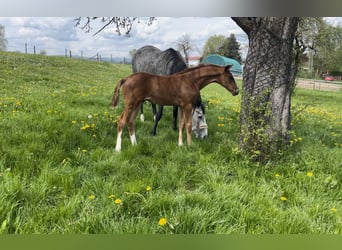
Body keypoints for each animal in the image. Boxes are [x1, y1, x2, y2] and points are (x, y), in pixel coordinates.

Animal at [111, 63, 239, 151]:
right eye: (230, 77)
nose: (236, 91)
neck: (191, 80)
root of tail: (126, 79)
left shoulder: (181, 106)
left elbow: (181, 124)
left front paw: (180, 144)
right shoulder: (187, 106)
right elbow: (188, 124)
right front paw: (190, 145)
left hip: (137, 104)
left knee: (130, 122)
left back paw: (135, 144)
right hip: (130, 104)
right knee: (121, 121)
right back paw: (118, 149)